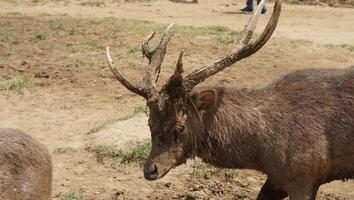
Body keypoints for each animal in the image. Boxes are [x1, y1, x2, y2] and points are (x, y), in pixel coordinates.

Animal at [104, 0, 354, 199]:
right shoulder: (277, 179)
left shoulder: (304, 175)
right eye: (149, 123)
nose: (150, 170)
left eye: (180, 126)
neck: (263, 153)